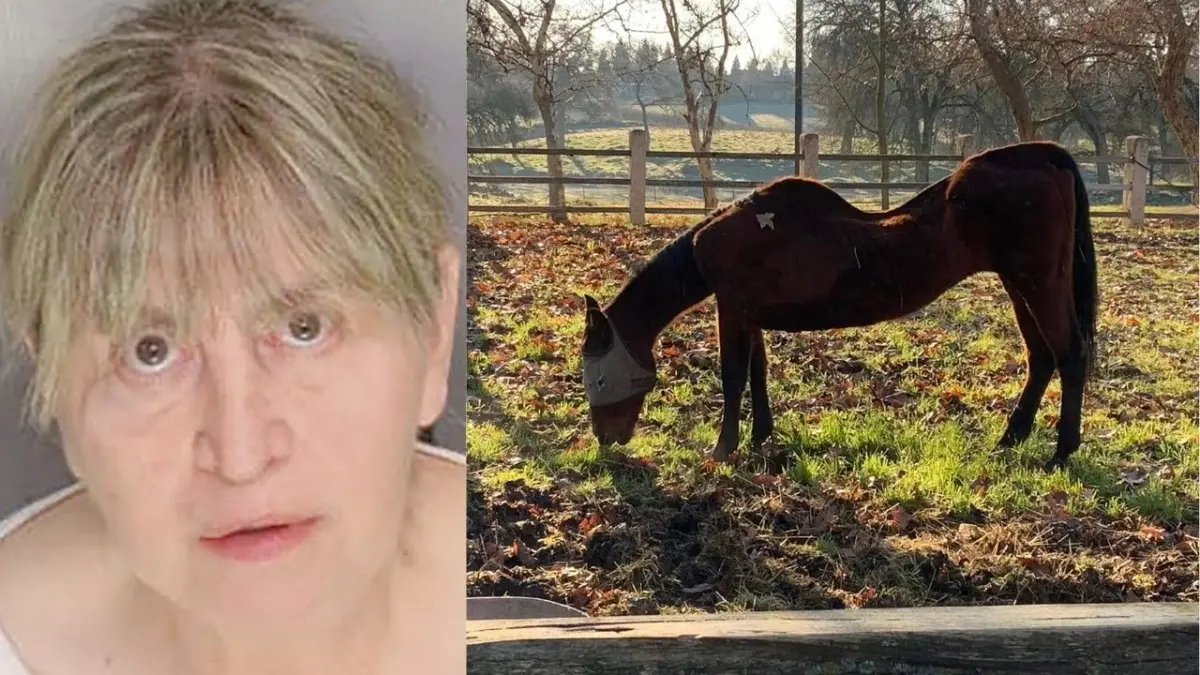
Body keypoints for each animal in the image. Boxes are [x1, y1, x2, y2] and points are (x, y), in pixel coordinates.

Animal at [578, 141, 1098, 473]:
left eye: (599, 378)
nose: (606, 440)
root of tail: (1043, 157)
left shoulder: (732, 308)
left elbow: (733, 376)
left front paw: (723, 450)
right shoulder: (749, 313)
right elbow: (758, 371)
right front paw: (762, 437)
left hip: (1038, 283)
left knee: (1070, 355)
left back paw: (1061, 453)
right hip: (1018, 285)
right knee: (1041, 358)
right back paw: (1010, 439)